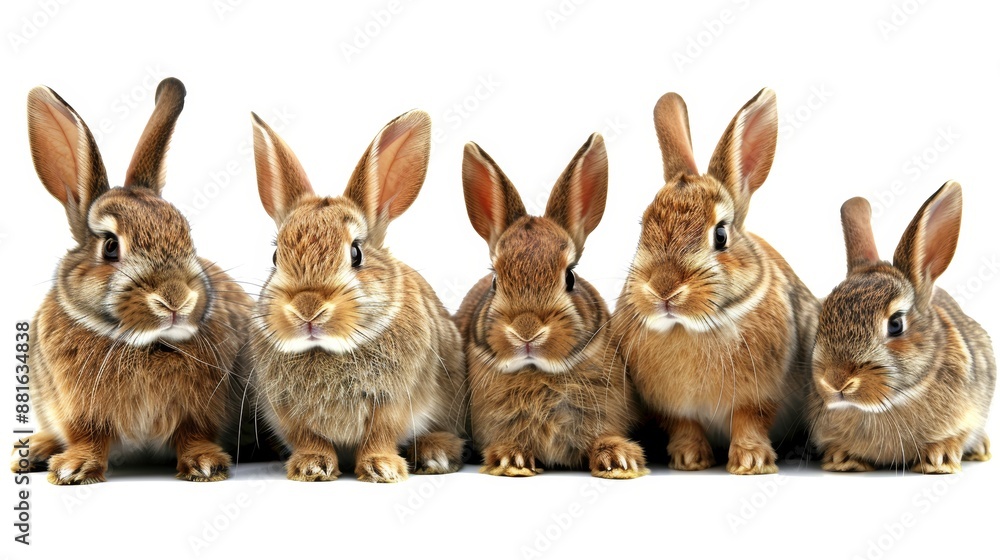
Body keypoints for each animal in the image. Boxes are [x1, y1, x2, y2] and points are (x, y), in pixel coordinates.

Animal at [9, 78, 253, 484]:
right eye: (110, 247)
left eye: (186, 235)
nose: (176, 299)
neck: (143, 344)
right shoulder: (79, 410)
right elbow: (88, 436)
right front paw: (74, 469)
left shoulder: (202, 410)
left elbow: (194, 434)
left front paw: (205, 464)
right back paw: (33, 451)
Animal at [248, 110, 467, 483]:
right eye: (276, 257)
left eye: (356, 253)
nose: (307, 308)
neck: (326, 349)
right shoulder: (287, 409)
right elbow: (308, 436)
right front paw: (311, 466)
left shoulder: (393, 401)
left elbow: (380, 433)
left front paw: (382, 468)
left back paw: (435, 455)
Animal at [454, 134, 647, 479]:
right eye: (495, 281)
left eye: (570, 277)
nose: (527, 331)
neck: (538, 371)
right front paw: (512, 460)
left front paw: (619, 461)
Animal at [610, 88, 820, 474]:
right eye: (643, 226)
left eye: (720, 235)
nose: (664, 289)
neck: (689, 328)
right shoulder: (673, 407)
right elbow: (685, 426)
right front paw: (688, 459)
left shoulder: (759, 397)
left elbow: (750, 421)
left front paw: (751, 462)